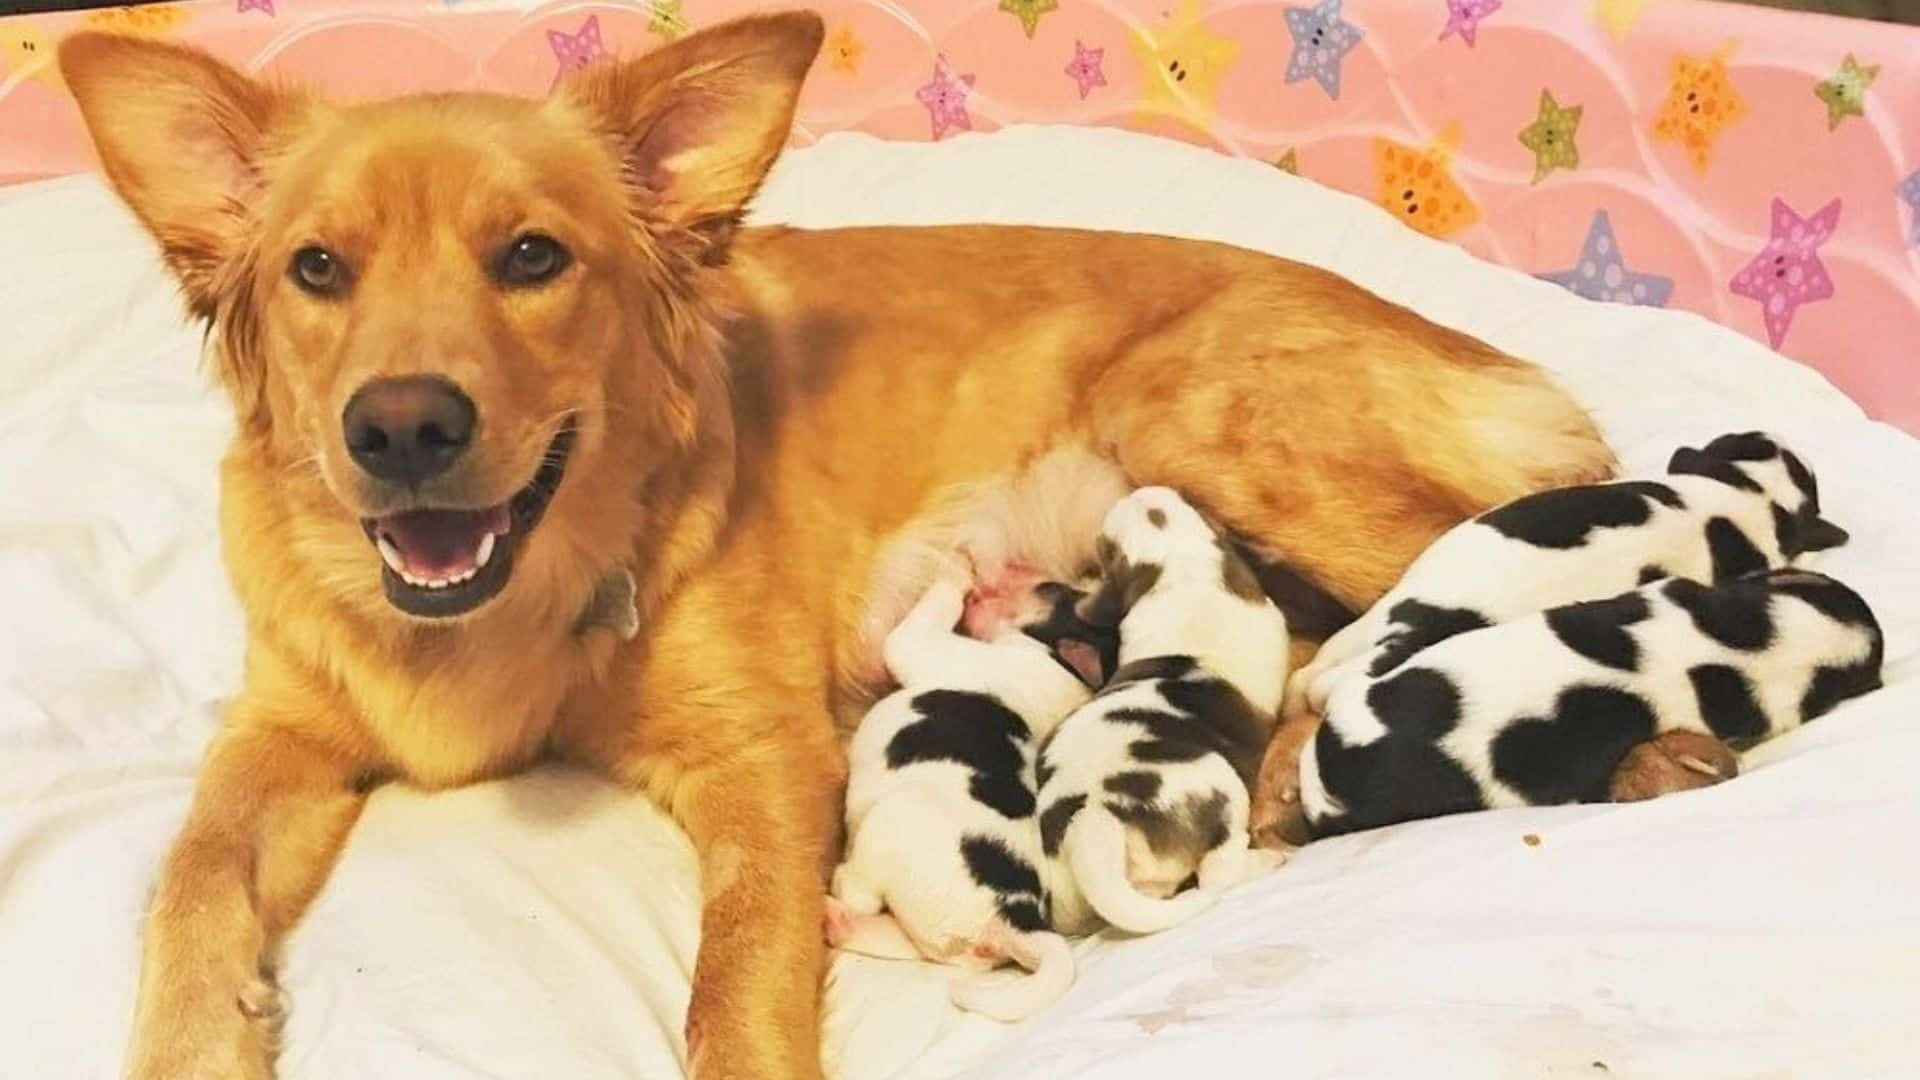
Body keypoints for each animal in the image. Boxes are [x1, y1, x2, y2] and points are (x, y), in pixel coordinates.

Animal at [829, 572, 1121, 1014]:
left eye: (1050, 588)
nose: (995, 579)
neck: (1063, 664)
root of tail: (1018, 919)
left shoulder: (921, 644)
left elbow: (918, 624)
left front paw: (956, 573)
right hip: (930, 935)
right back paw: (835, 924)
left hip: (891, 824)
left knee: (858, 892)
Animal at [1036, 488, 1290, 933]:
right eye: (1107, 548)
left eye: (1186, 501)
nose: (1143, 492)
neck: (1185, 571)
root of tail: (1092, 819)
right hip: (1223, 785)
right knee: (1216, 873)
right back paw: (1265, 859)